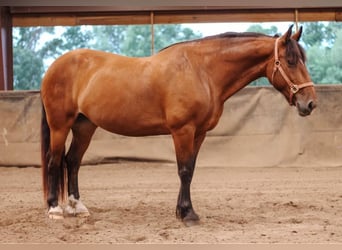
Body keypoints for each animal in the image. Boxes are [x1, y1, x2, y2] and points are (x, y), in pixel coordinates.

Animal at [41, 24, 316, 226]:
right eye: (291, 61)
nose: (310, 103)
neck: (201, 71)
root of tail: (54, 66)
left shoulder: (199, 133)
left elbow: (190, 170)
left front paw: (182, 211)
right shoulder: (182, 130)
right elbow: (183, 170)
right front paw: (188, 215)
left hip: (84, 126)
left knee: (72, 161)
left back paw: (77, 207)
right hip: (60, 126)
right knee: (55, 161)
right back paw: (55, 209)